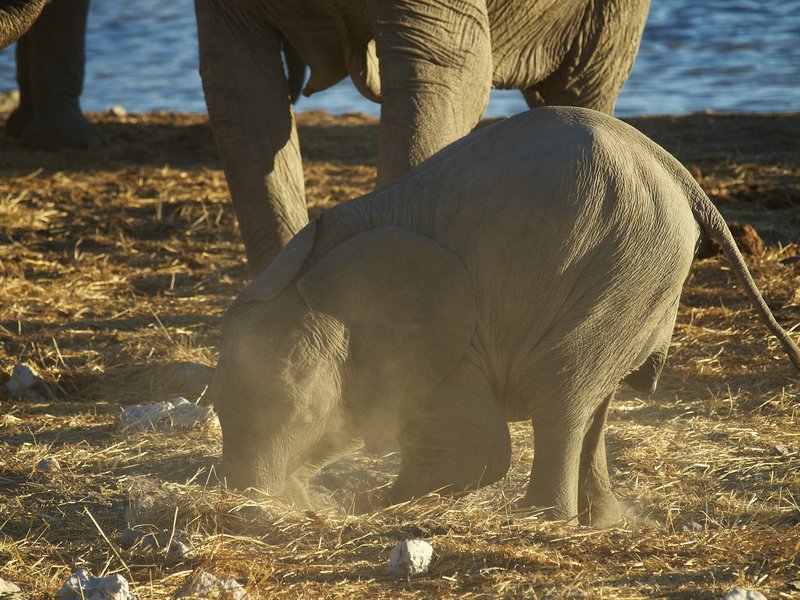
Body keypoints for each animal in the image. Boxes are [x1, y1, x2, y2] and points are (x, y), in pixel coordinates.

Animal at [210, 106, 800, 527]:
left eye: (301, 414)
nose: (266, 502)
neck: (310, 277)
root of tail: (679, 173)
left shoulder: (443, 339)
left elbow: (478, 449)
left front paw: (366, 505)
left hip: (630, 260)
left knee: (560, 383)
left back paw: (543, 517)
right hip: (642, 275)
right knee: (596, 395)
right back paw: (605, 521)